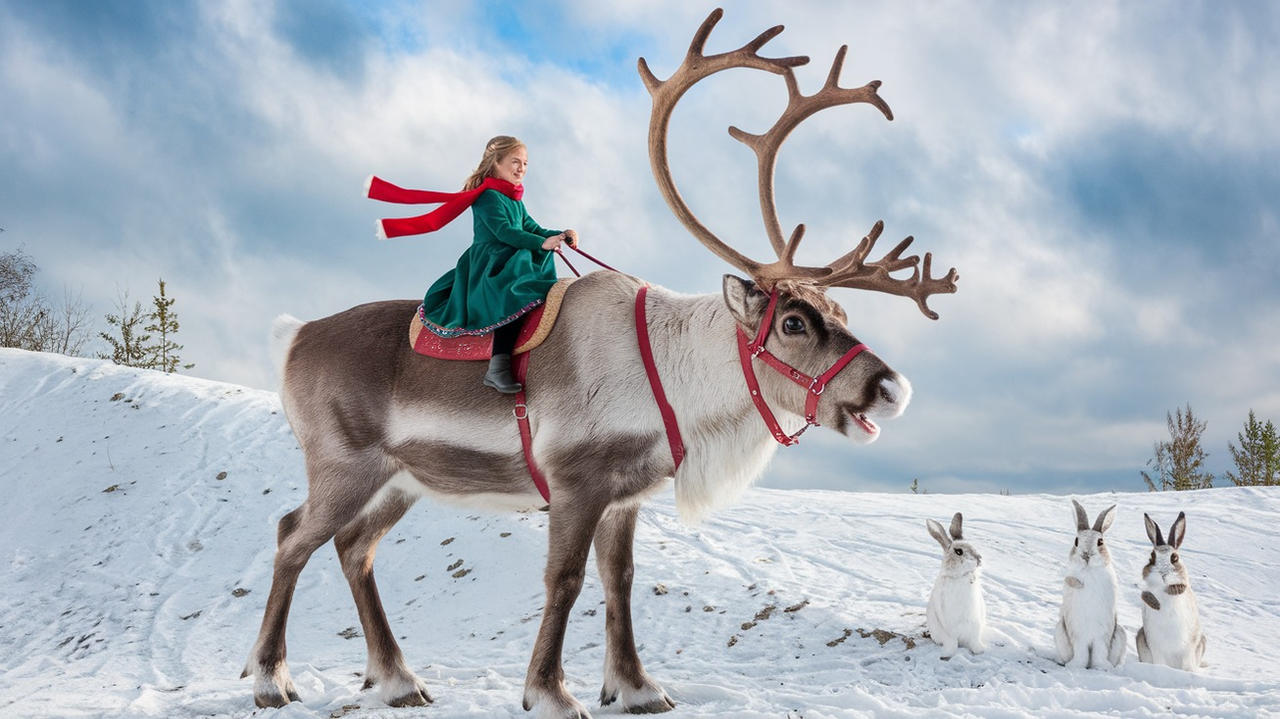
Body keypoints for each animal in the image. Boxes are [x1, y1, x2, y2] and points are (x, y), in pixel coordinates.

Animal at [242, 8, 958, 718]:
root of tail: (294, 336)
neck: (673, 374)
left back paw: (397, 679)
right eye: (793, 323)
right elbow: (565, 578)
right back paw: (271, 679)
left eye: (842, 313)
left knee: (352, 547)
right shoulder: (575, 482)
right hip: (343, 463)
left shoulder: (626, 493)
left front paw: (637, 686)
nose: (894, 389)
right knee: (290, 536)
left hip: (400, 479)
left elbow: (622, 580)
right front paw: (550, 691)